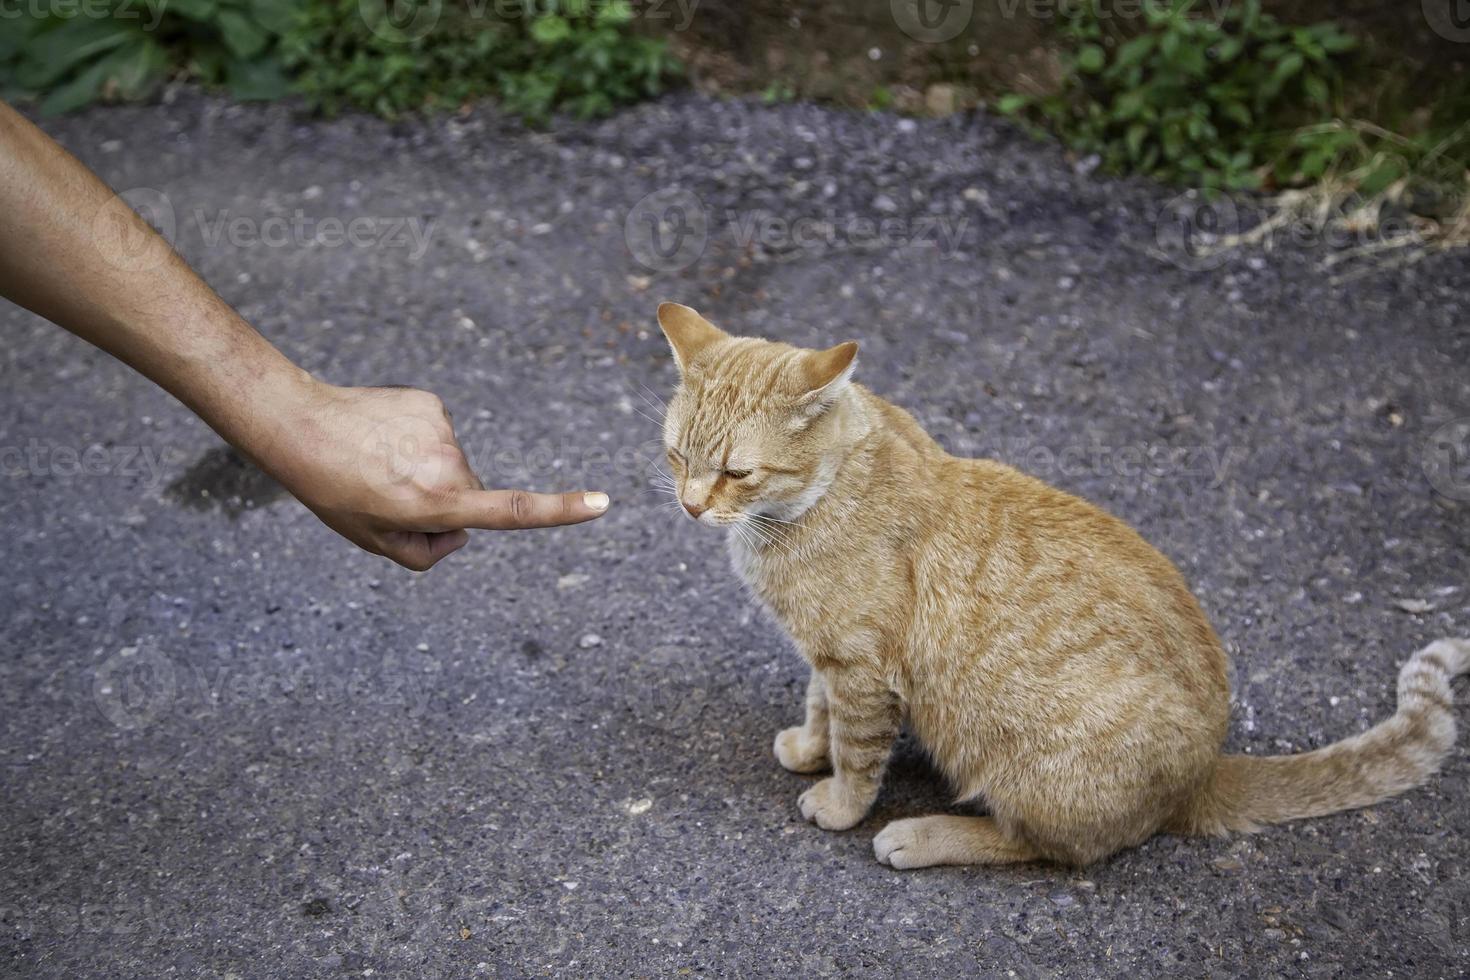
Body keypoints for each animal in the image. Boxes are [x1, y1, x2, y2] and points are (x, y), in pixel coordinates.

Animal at [658, 302, 1470, 869]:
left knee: (1051, 847)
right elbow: (817, 705)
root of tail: (1204, 773)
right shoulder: (830, 655)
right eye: (675, 457)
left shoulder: (861, 667)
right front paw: (808, 747)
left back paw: (922, 835)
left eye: (736, 472)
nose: (691, 507)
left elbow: (858, 754)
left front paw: (838, 802)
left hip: (1029, 769)